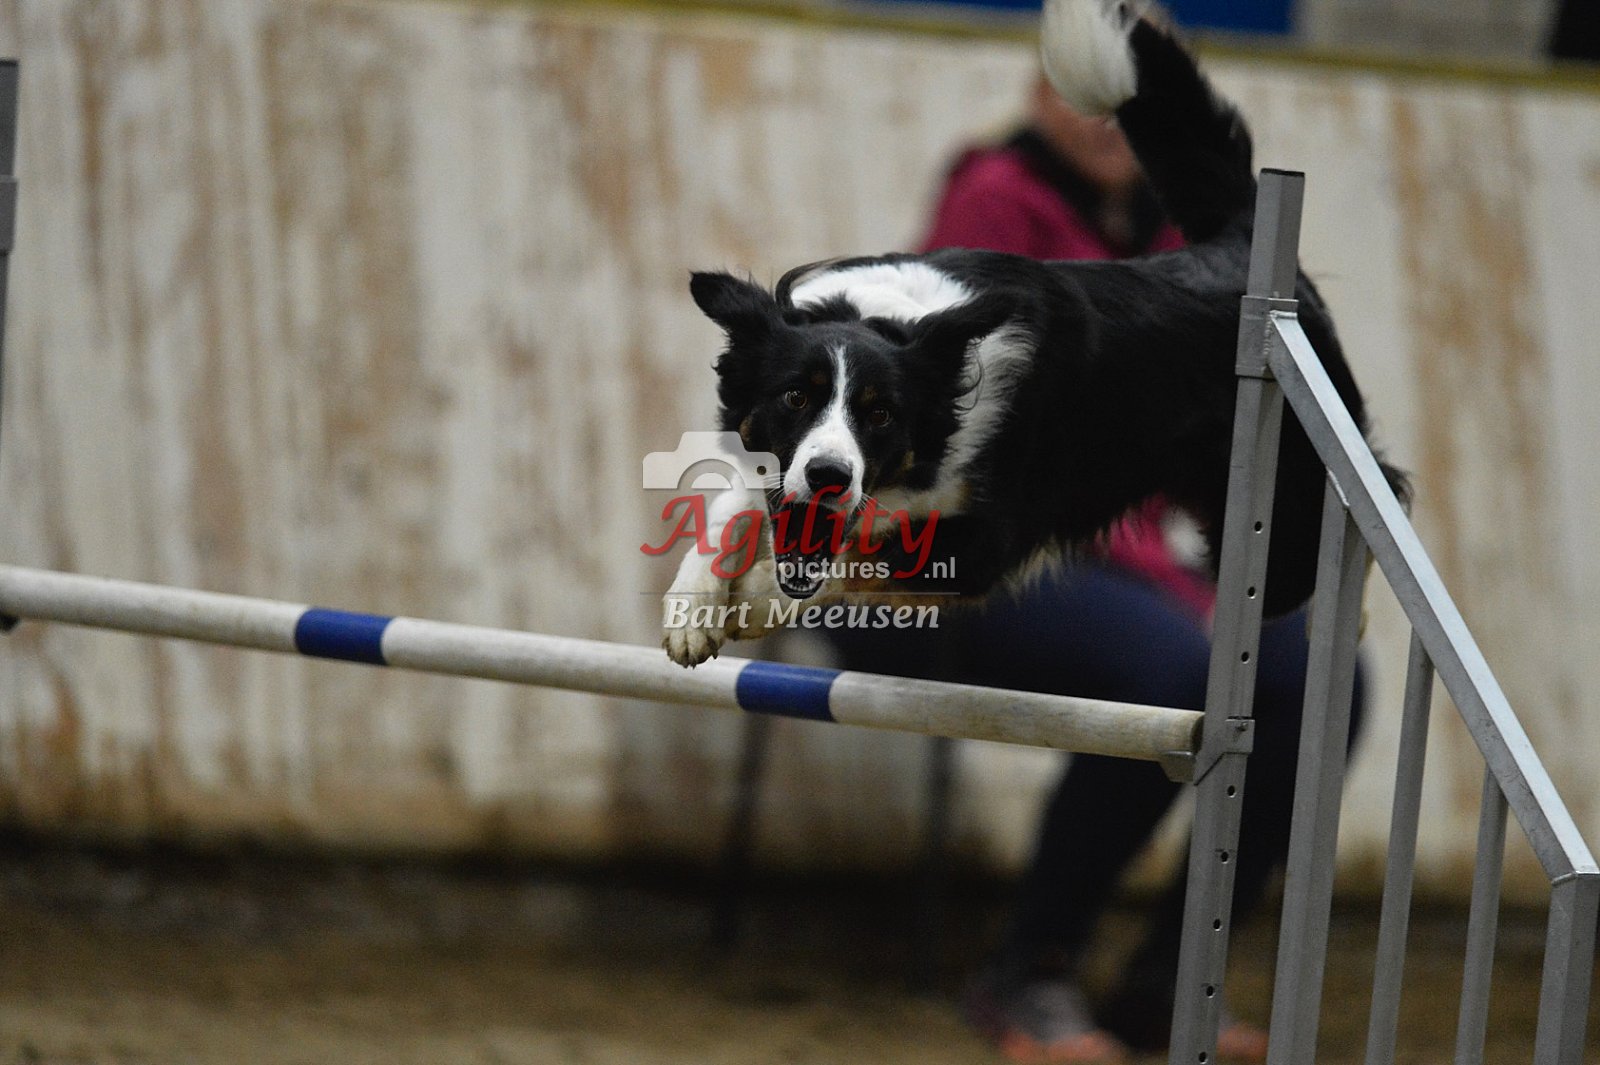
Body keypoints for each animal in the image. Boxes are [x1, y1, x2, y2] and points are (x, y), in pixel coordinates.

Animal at [661, 0, 1406, 668]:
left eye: (881, 415)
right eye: (795, 397)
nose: (828, 476)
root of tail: (1242, 245)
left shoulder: (988, 536)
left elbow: (862, 558)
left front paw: (757, 600)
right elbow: (734, 503)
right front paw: (693, 609)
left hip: (1277, 505)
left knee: (1370, 504)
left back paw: (1343, 621)